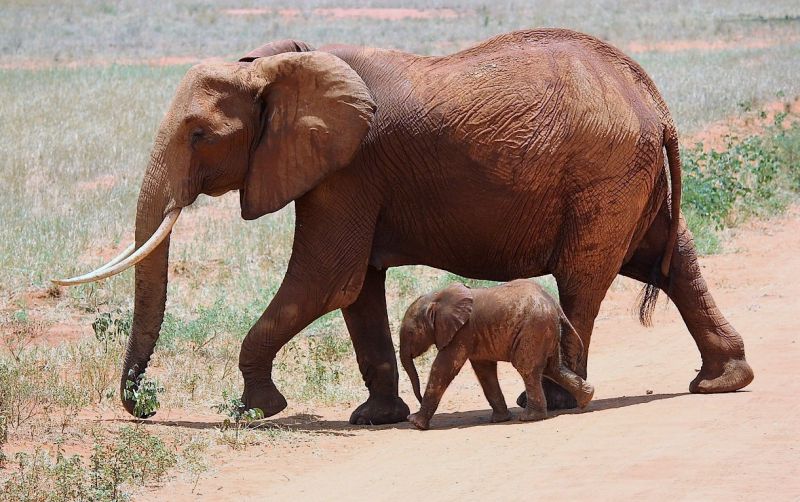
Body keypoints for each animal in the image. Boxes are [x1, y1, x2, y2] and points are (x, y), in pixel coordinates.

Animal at [400, 280, 592, 430]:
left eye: (410, 333)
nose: (417, 399)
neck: (437, 298)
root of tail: (555, 305)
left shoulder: (462, 332)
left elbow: (443, 368)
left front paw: (415, 423)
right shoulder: (473, 335)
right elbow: (484, 372)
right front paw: (501, 419)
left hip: (534, 329)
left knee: (528, 369)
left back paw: (529, 418)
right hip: (546, 331)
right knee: (553, 368)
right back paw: (586, 399)